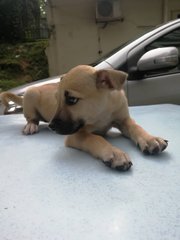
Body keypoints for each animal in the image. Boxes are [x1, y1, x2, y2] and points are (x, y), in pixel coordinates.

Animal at [0, 65, 168, 171]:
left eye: (71, 100)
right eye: (57, 100)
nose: (51, 127)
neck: (102, 111)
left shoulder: (123, 120)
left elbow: (136, 127)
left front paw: (150, 139)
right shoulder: (76, 134)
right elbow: (95, 138)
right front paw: (113, 152)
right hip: (31, 94)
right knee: (31, 118)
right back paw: (31, 125)